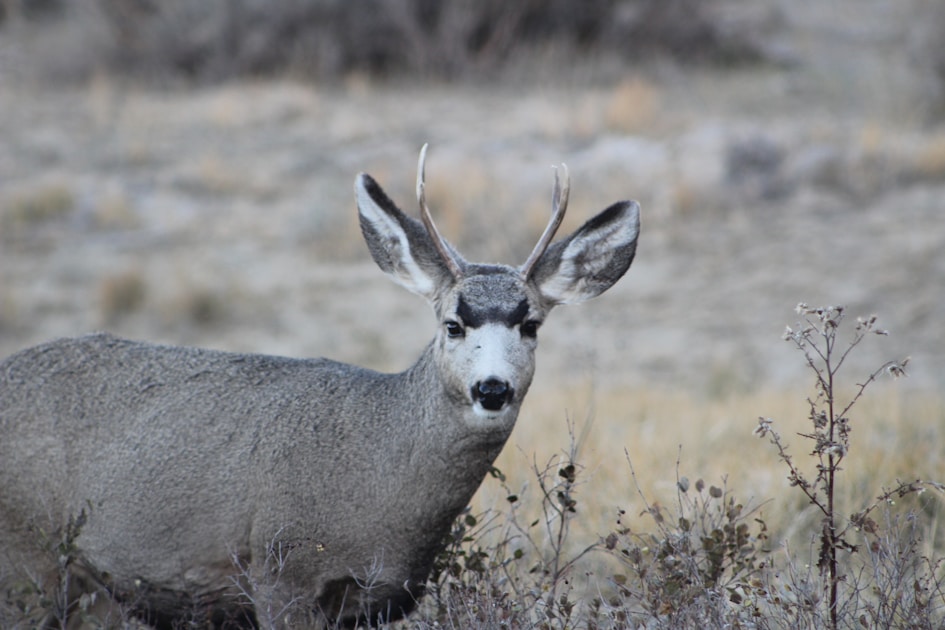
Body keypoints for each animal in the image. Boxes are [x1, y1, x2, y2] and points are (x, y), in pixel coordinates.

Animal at [0, 145, 640, 629]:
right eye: (452, 324)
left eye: (530, 324)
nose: (492, 389)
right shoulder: (282, 571)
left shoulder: (375, 602)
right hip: (24, 562)